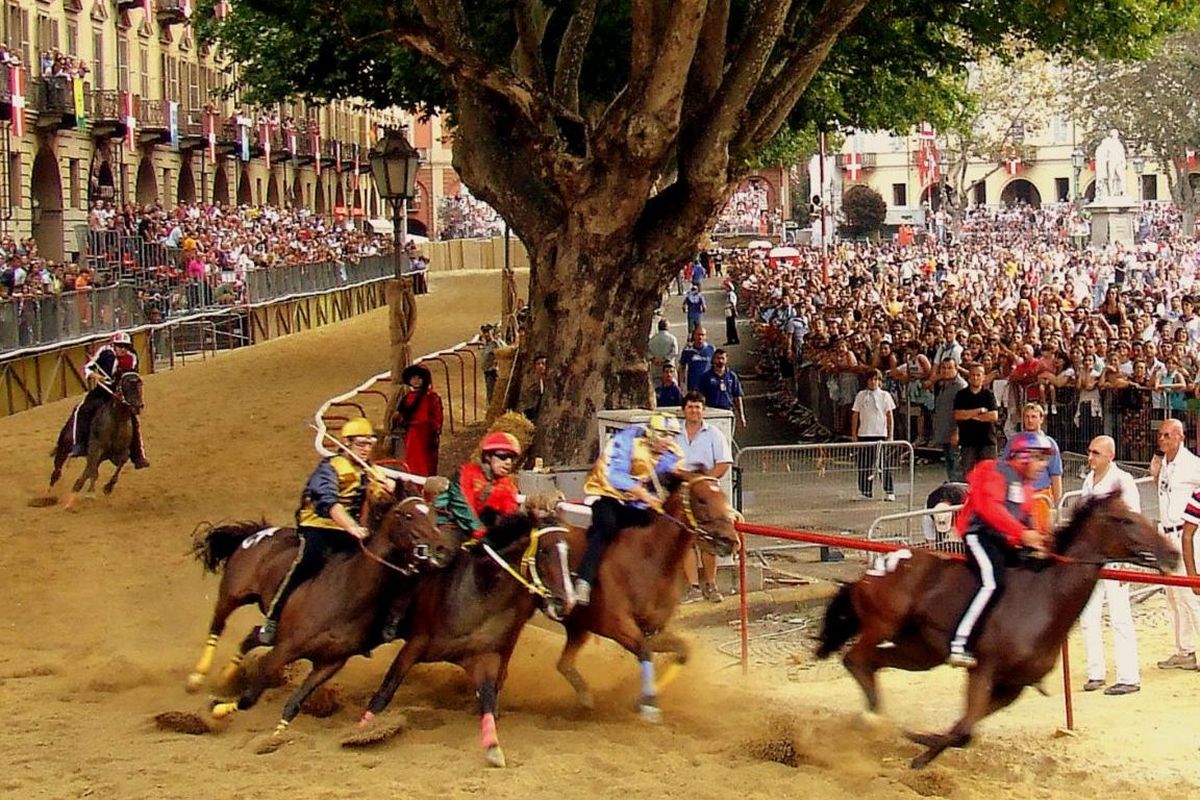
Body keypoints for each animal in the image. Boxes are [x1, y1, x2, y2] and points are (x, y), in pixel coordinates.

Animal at [49, 371, 144, 510]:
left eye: (140, 385)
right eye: (126, 385)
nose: (138, 406)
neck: (117, 420)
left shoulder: (121, 453)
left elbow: (118, 466)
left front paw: (108, 488)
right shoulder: (95, 449)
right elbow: (93, 472)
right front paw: (90, 493)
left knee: (85, 473)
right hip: (64, 447)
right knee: (58, 469)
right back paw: (50, 493)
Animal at [189, 491, 456, 748]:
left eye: (434, 514)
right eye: (408, 516)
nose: (441, 547)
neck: (347, 592)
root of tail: (261, 532)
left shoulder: (329, 663)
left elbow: (294, 703)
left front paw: (277, 737)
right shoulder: (285, 649)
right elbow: (249, 697)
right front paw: (214, 711)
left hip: (270, 630)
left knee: (253, 635)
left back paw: (226, 675)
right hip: (232, 594)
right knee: (217, 625)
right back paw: (198, 676)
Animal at [350, 513, 576, 767]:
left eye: (568, 550)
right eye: (545, 551)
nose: (566, 601)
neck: (476, 594)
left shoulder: (485, 655)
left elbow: (487, 696)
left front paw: (493, 747)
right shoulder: (415, 645)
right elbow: (387, 689)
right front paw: (362, 730)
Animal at [552, 474, 739, 724]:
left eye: (724, 496)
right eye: (701, 499)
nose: (730, 540)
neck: (649, 557)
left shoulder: (653, 628)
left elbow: (682, 651)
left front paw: (641, 699)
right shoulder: (615, 625)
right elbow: (644, 652)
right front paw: (648, 704)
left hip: (577, 626)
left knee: (564, 664)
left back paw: (585, 699)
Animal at [811, 494, 1176, 767]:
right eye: (1125, 520)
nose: (1171, 554)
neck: (1044, 596)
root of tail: (872, 572)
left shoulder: (1012, 686)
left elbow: (964, 731)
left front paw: (924, 743)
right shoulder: (983, 669)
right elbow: (965, 725)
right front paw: (920, 751)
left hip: (921, 651)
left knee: (871, 662)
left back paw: (875, 718)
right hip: (885, 623)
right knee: (855, 659)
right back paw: (871, 719)